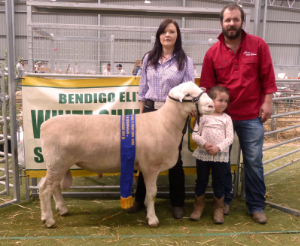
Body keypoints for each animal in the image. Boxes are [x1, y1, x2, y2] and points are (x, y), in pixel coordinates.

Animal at [38, 81, 214, 228]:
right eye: (188, 95)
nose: (211, 105)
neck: (164, 122)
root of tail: (44, 124)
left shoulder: (144, 166)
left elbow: (148, 194)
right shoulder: (151, 167)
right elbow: (152, 194)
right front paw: (152, 219)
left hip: (57, 163)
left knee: (53, 186)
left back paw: (62, 210)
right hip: (57, 161)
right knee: (45, 189)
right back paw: (49, 220)